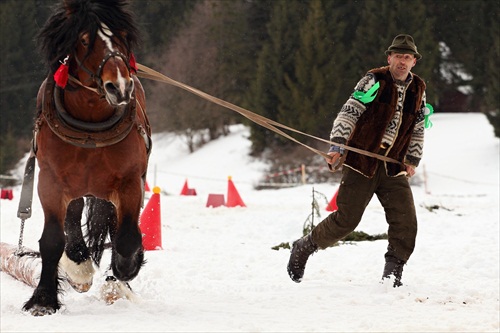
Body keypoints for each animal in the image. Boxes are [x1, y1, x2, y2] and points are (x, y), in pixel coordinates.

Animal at [22, 0, 150, 316]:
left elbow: (127, 237)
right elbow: (53, 239)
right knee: (74, 212)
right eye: (83, 40)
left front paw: (126, 268)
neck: (91, 126)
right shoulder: (50, 181)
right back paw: (78, 260)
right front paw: (44, 298)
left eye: (122, 35)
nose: (120, 87)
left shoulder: (130, 182)